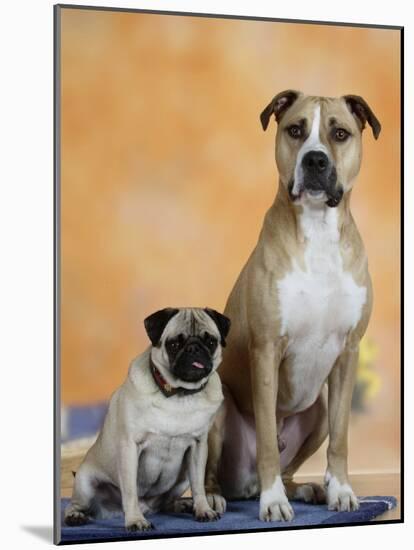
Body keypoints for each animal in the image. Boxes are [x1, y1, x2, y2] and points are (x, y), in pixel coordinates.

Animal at [205, 91, 380, 528]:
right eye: (295, 130)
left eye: (340, 133)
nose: (315, 160)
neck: (316, 231)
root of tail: (243, 485)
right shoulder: (267, 349)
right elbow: (268, 438)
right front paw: (273, 503)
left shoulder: (348, 352)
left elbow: (342, 439)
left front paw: (342, 491)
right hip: (217, 406)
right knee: (211, 472)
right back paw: (215, 498)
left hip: (317, 410)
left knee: (293, 463)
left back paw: (306, 489)